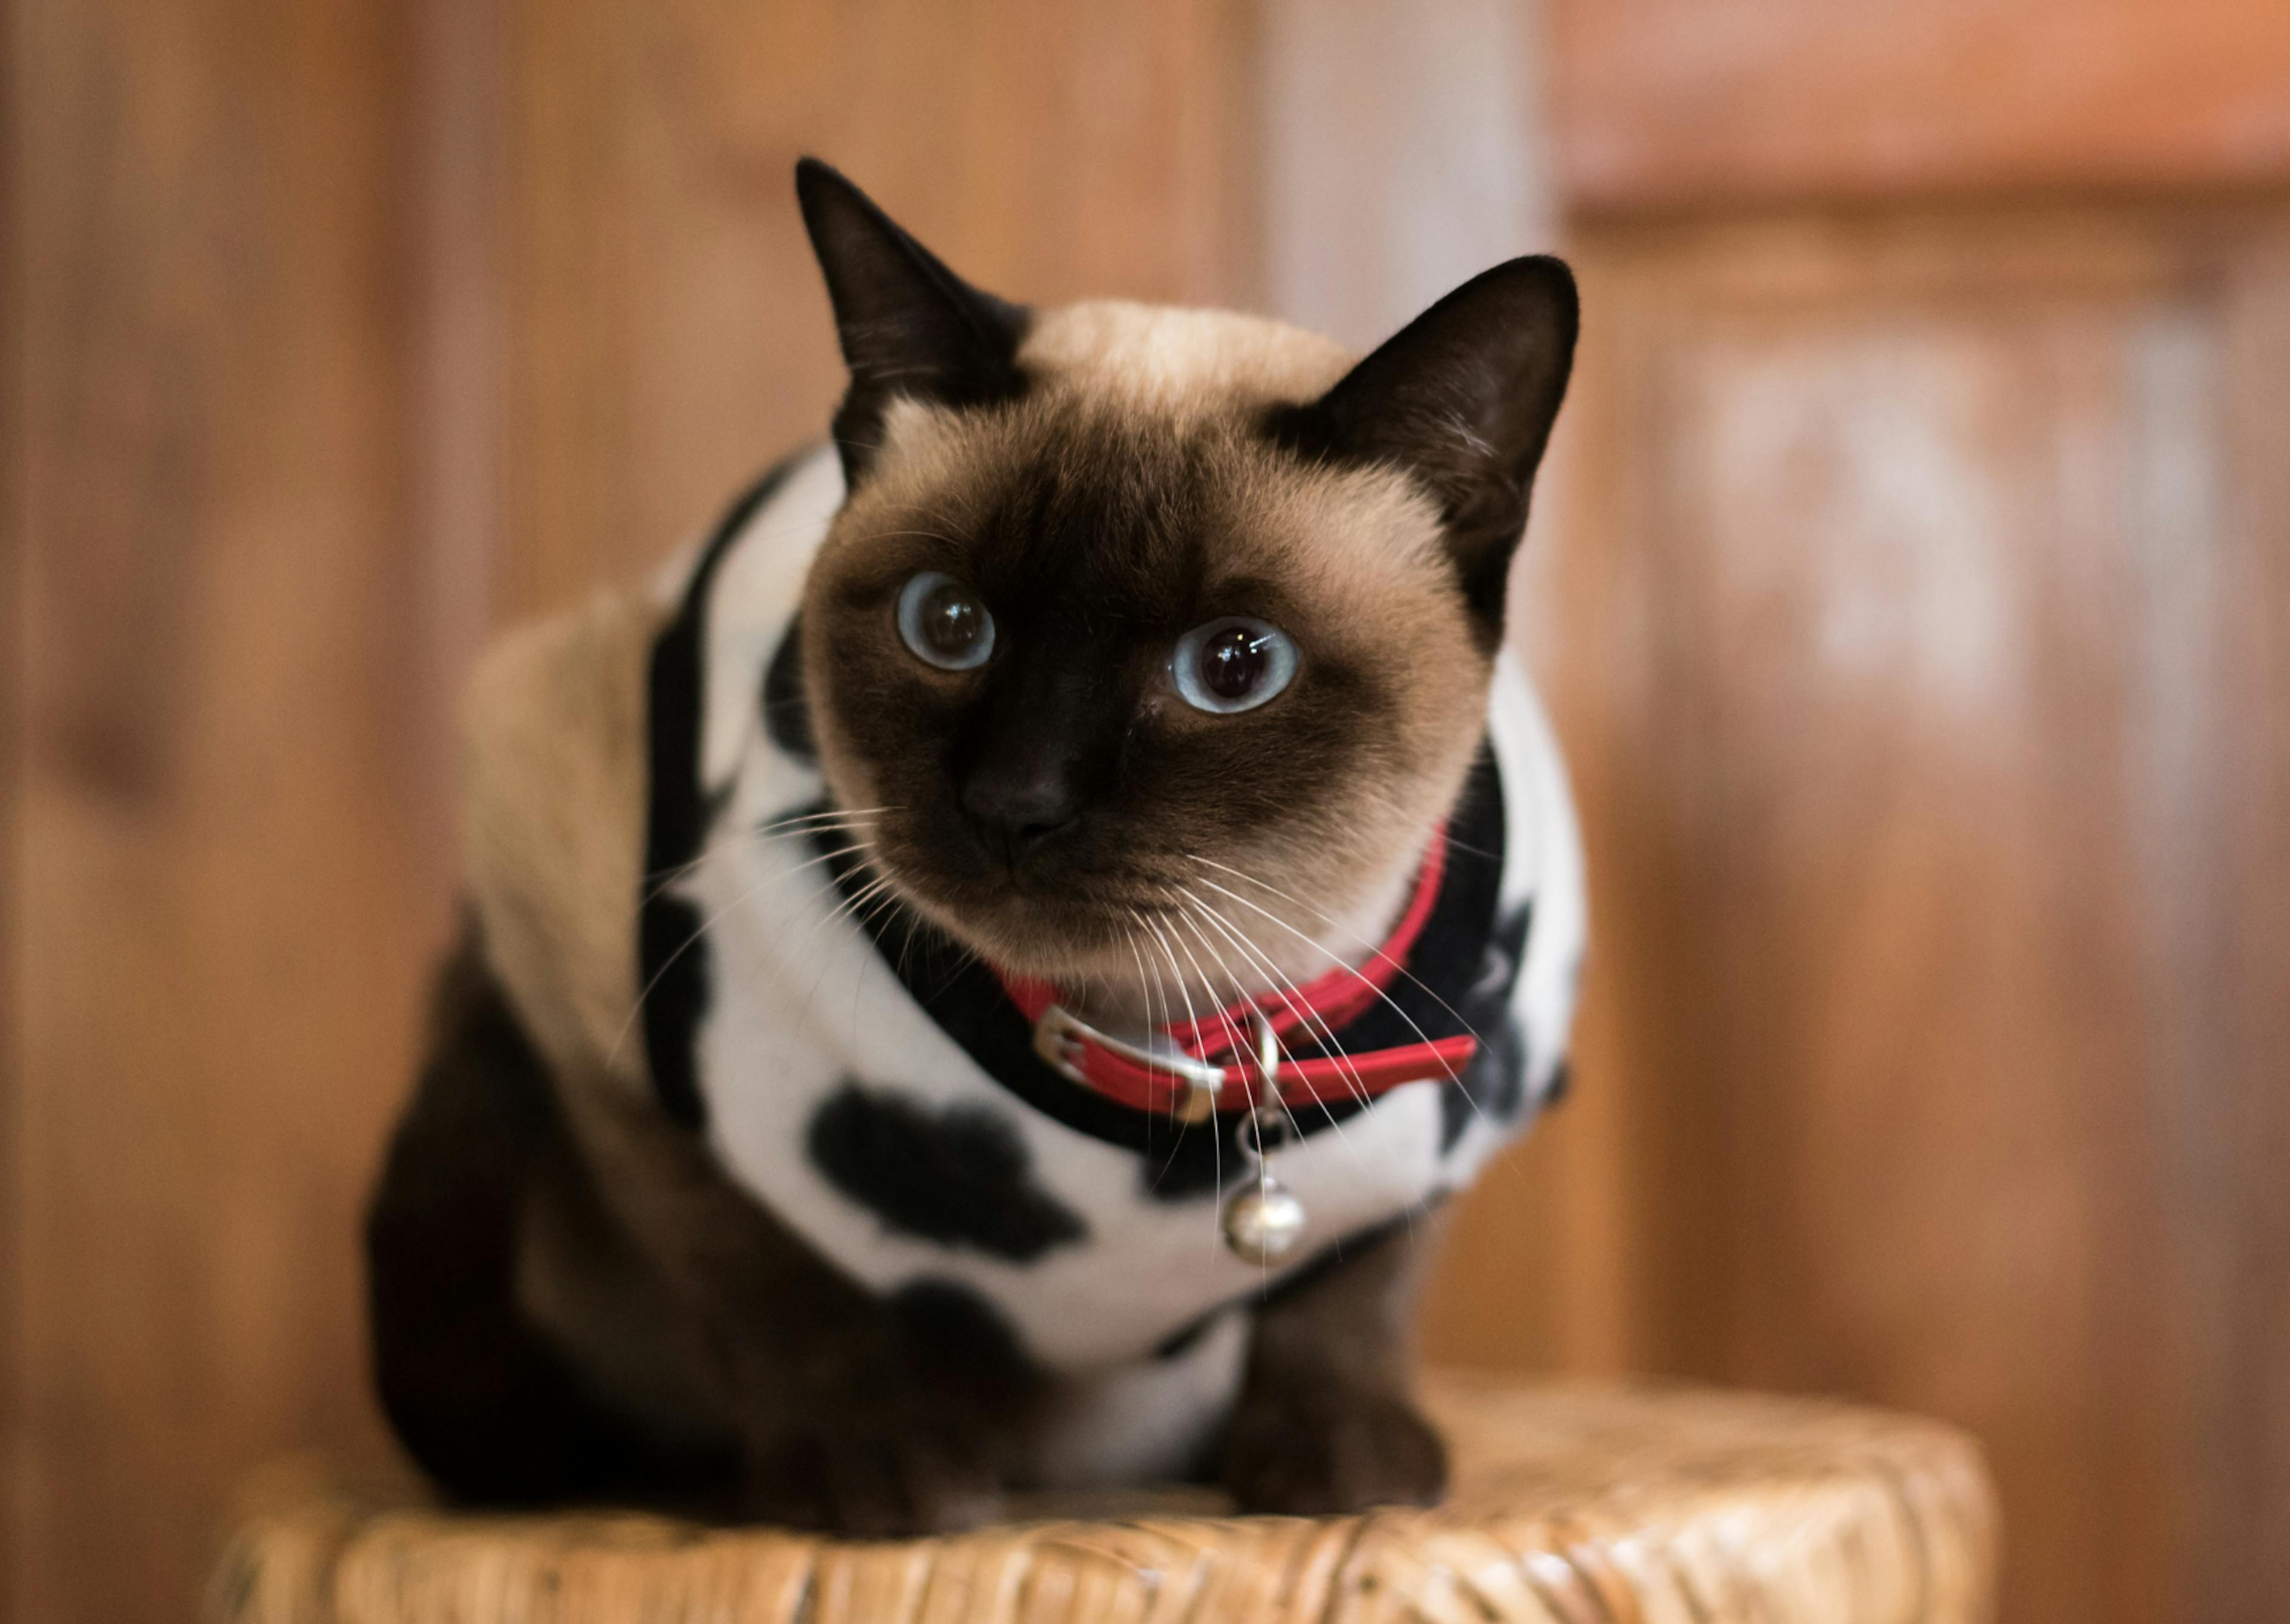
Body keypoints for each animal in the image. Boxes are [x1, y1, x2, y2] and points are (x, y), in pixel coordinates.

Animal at [366, 161, 1585, 1530]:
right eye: (947, 624)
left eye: (1234, 666)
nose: (1017, 801)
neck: (1177, 1045)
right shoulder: (602, 1025)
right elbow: (776, 1283)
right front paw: (879, 1479)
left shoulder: (1456, 1123)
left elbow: (1352, 1286)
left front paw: (1340, 1470)